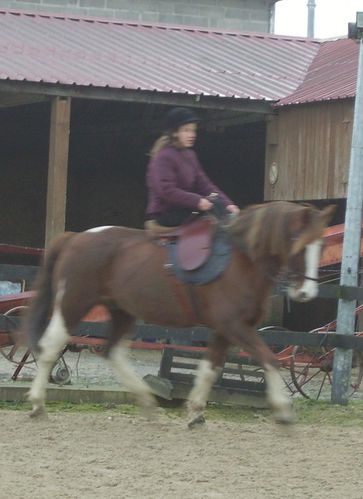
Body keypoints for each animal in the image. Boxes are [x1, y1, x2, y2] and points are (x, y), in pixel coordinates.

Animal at [24, 201, 336, 428]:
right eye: (296, 240)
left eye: (321, 244)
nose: (306, 292)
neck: (241, 261)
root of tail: (75, 238)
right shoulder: (234, 326)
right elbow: (270, 359)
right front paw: (284, 411)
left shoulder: (226, 329)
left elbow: (211, 369)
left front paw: (196, 412)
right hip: (74, 303)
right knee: (51, 347)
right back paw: (38, 403)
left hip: (121, 310)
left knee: (112, 351)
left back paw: (148, 404)